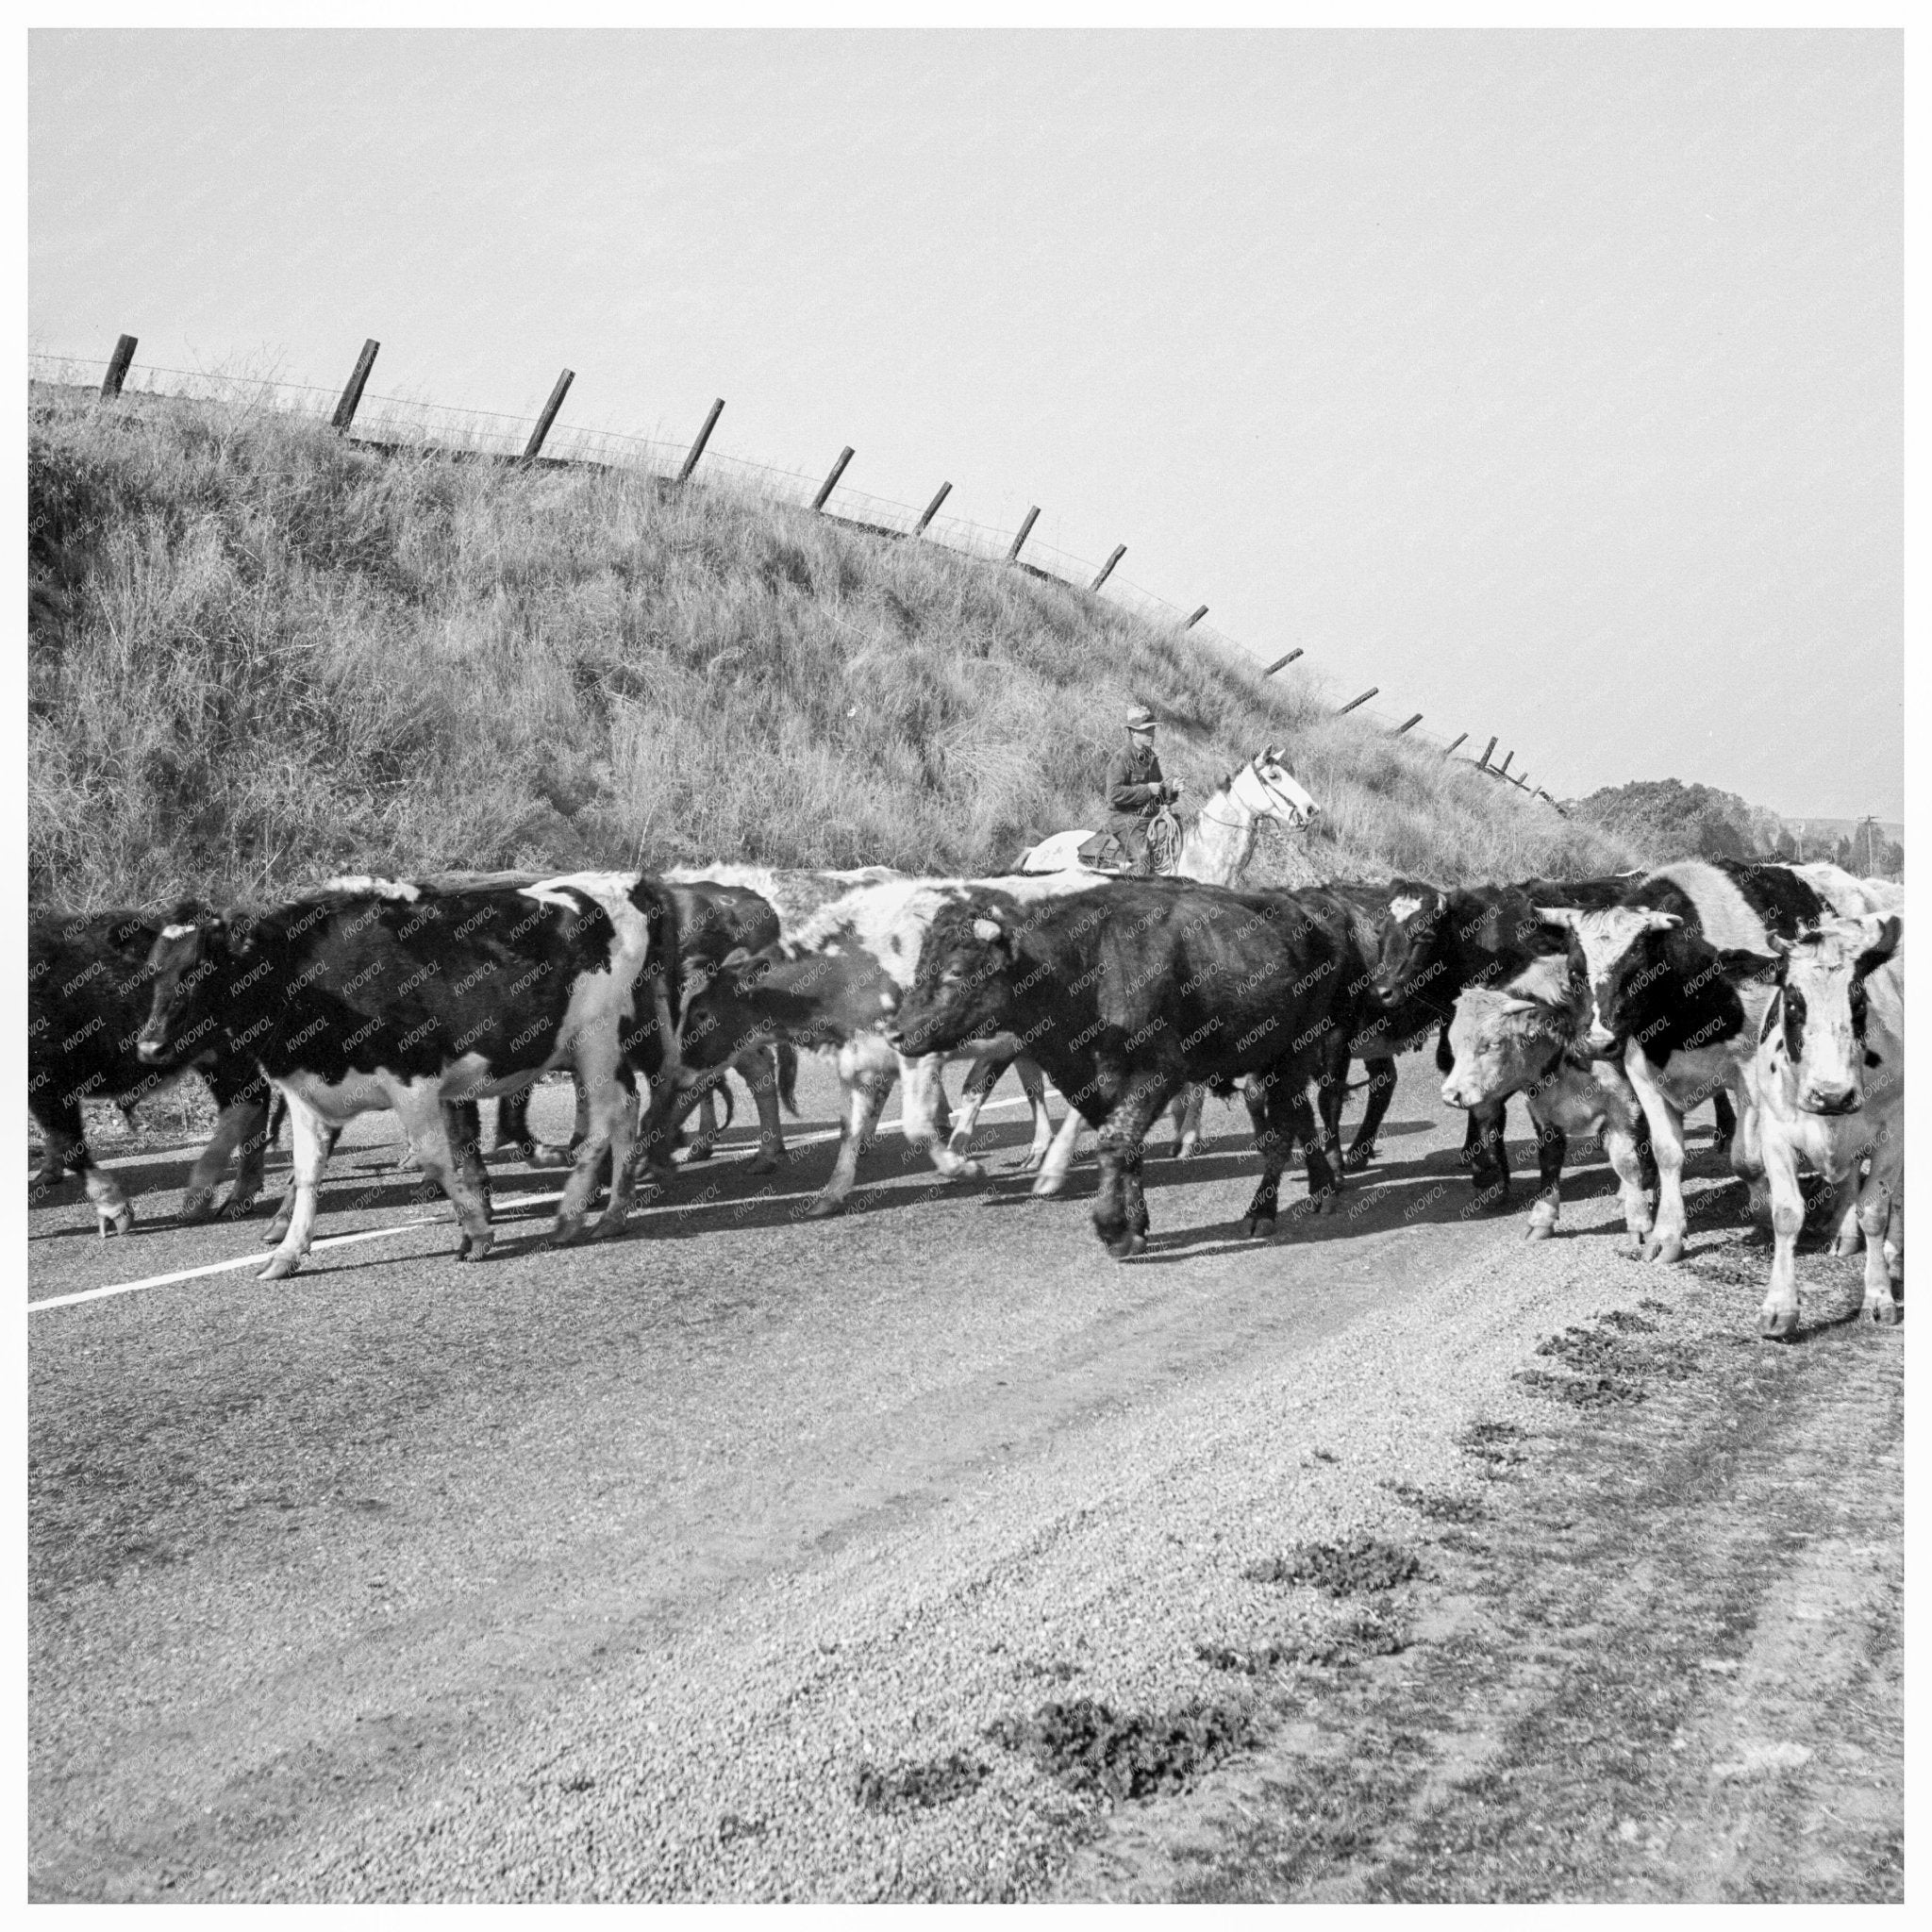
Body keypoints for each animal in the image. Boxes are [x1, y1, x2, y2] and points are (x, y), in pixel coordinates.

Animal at [29, 907, 274, 1233]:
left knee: (247, 1098)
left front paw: (115, 1211)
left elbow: (71, 1146)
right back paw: (239, 1194)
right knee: (253, 1097)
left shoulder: (48, 1084)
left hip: (223, 1052)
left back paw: (203, 1196)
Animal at [135, 872, 676, 1279]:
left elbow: (436, 1159)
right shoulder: (306, 1096)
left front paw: (476, 1233)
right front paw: (287, 1252)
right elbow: (307, 1174)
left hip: (598, 1042)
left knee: (605, 1122)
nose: (148, 1045)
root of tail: (625, 882)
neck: (308, 979)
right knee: (626, 1113)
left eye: (199, 969)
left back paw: (574, 1216)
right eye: (154, 969)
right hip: (600, 1051)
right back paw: (611, 1212)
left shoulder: (414, 1079)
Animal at [885, 878, 1359, 1258]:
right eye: (920, 965)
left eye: (956, 970)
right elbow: (1127, 1150)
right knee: (1299, 1117)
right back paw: (1323, 1188)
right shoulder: (1089, 1086)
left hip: (1294, 1052)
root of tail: (1311, 911)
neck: (1083, 969)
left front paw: (1113, 1230)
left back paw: (1263, 1211)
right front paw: (1136, 1227)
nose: (895, 1033)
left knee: (1281, 1132)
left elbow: (1114, 1145)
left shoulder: (1156, 1075)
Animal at [1438, 957, 1656, 1250]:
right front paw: (1542, 1220)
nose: (1451, 1095)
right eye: (1453, 1044)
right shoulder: (1545, 1115)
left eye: (1493, 1043)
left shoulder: (1623, 1106)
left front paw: (1639, 1222)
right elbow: (1549, 1163)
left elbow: (1626, 1162)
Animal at [1751, 914, 1904, 1337]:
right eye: (1791, 1002)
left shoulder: (1893, 1132)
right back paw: (1845, 1236)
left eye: (1859, 1001)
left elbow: (1876, 1210)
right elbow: (1787, 1214)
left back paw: (1893, 1253)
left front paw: (1879, 1297)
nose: (1831, 1095)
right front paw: (1779, 1308)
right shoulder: (1774, 1132)